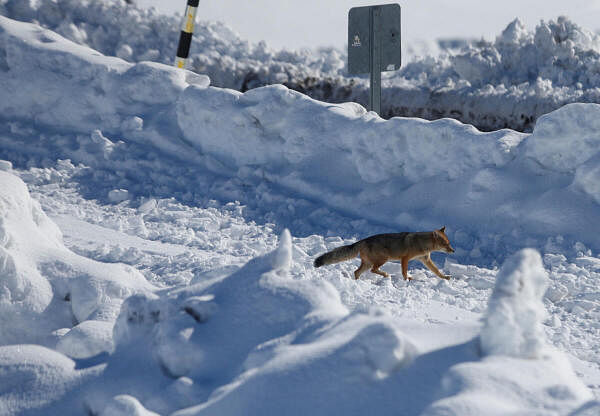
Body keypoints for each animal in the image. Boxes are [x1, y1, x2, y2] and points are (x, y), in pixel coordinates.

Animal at [314, 226, 454, 282]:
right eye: (445, 244)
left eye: (449, 243)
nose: (453, 250)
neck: (422, 243)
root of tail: (363, 241)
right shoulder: (405, 258)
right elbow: (404, 272)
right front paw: (407, 279)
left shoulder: (426, 260)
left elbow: (437, 271)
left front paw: (445, 277)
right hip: (383, 259)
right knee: (373, 270)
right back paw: (385, 275)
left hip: (369, 263)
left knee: (356, 272)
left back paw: (358, 282)